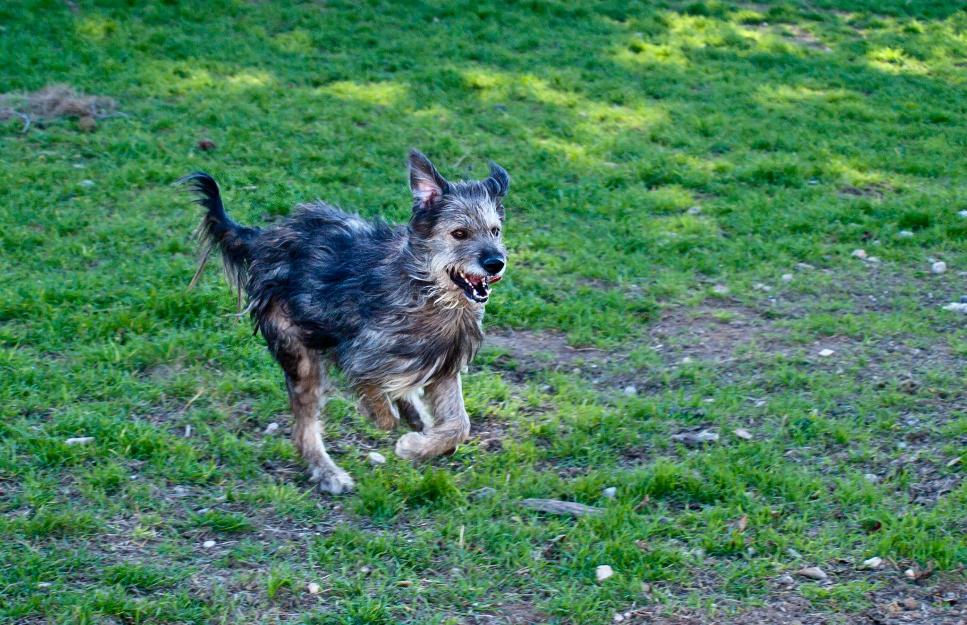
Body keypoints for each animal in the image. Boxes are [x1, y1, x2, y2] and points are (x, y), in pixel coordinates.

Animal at [183, 151, 516, 492]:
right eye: (459, 233)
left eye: (495, 230)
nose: (495, 263)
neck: (425, 291)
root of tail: (264, 238)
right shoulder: (355, 354)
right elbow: (378, 402)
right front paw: (396, 429)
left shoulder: (444, 364)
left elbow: (460, 425)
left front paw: (419, 444)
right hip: (300, 356)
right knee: (304, 429)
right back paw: (328, 472)